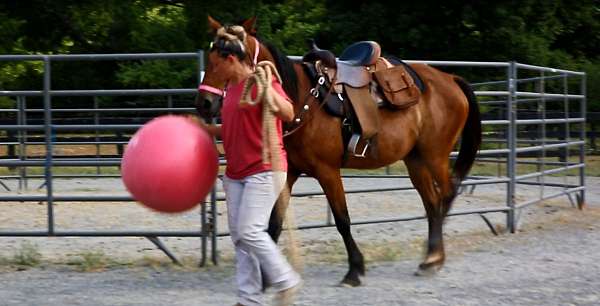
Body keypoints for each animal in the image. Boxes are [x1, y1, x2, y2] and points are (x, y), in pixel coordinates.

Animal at [198, 15, 482, 286]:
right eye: (212, 54)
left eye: (232, 54)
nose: (204, 103)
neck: (301, 100)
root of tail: (450, 78)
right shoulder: (288, 173)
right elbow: (273, 224)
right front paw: (268, 277)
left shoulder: (328, 171)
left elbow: (342, 220)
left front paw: (354, 270)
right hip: (415, 160)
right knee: (432, 202)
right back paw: (430, 257)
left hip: (435, 155)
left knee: (446, 193)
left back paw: (434, 256)